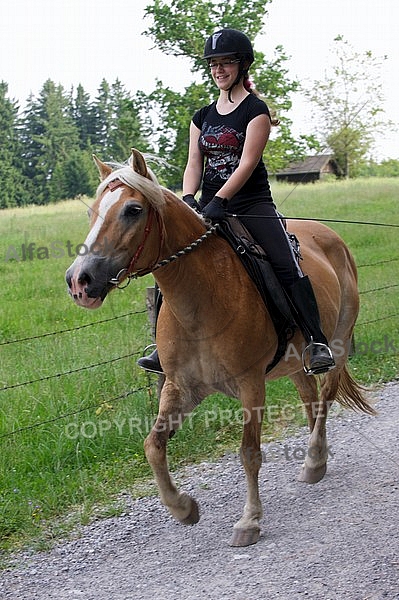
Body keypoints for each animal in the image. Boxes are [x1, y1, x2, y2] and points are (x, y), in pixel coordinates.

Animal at [65, 149, 376, 544]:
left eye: (133, 210)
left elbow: (249, 452)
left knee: (326, 396)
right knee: (310, 398)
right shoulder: (181, 387)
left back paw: (314, 457)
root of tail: (331, 236)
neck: (201, 296)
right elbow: (153, 446)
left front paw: (249, 521)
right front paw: (183, 508)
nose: (79, 281)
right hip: (294, 361)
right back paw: (315, 458)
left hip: (336, 341)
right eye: (92, 212)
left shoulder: (250, 384)